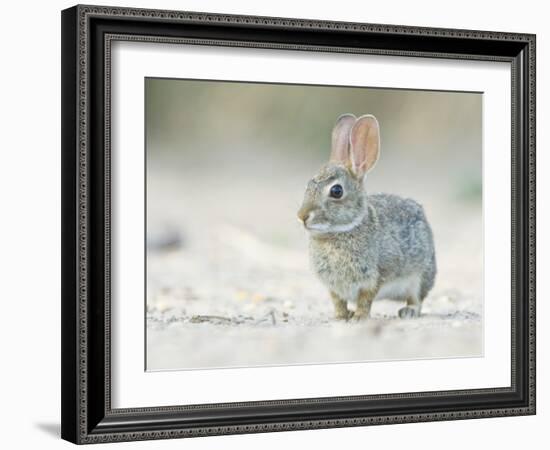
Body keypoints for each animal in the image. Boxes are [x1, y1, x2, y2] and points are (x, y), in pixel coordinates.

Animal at [300, 114, 438, 322]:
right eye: (308, 185)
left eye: (336, 191)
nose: (301, 216)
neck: (343, 230)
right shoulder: (334, 287)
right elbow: (338, 302)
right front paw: (341, 316)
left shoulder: (373, 277)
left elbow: (365, 299)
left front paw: (359, 317)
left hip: (420, 276)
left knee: (417, 299)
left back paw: (408, 311)